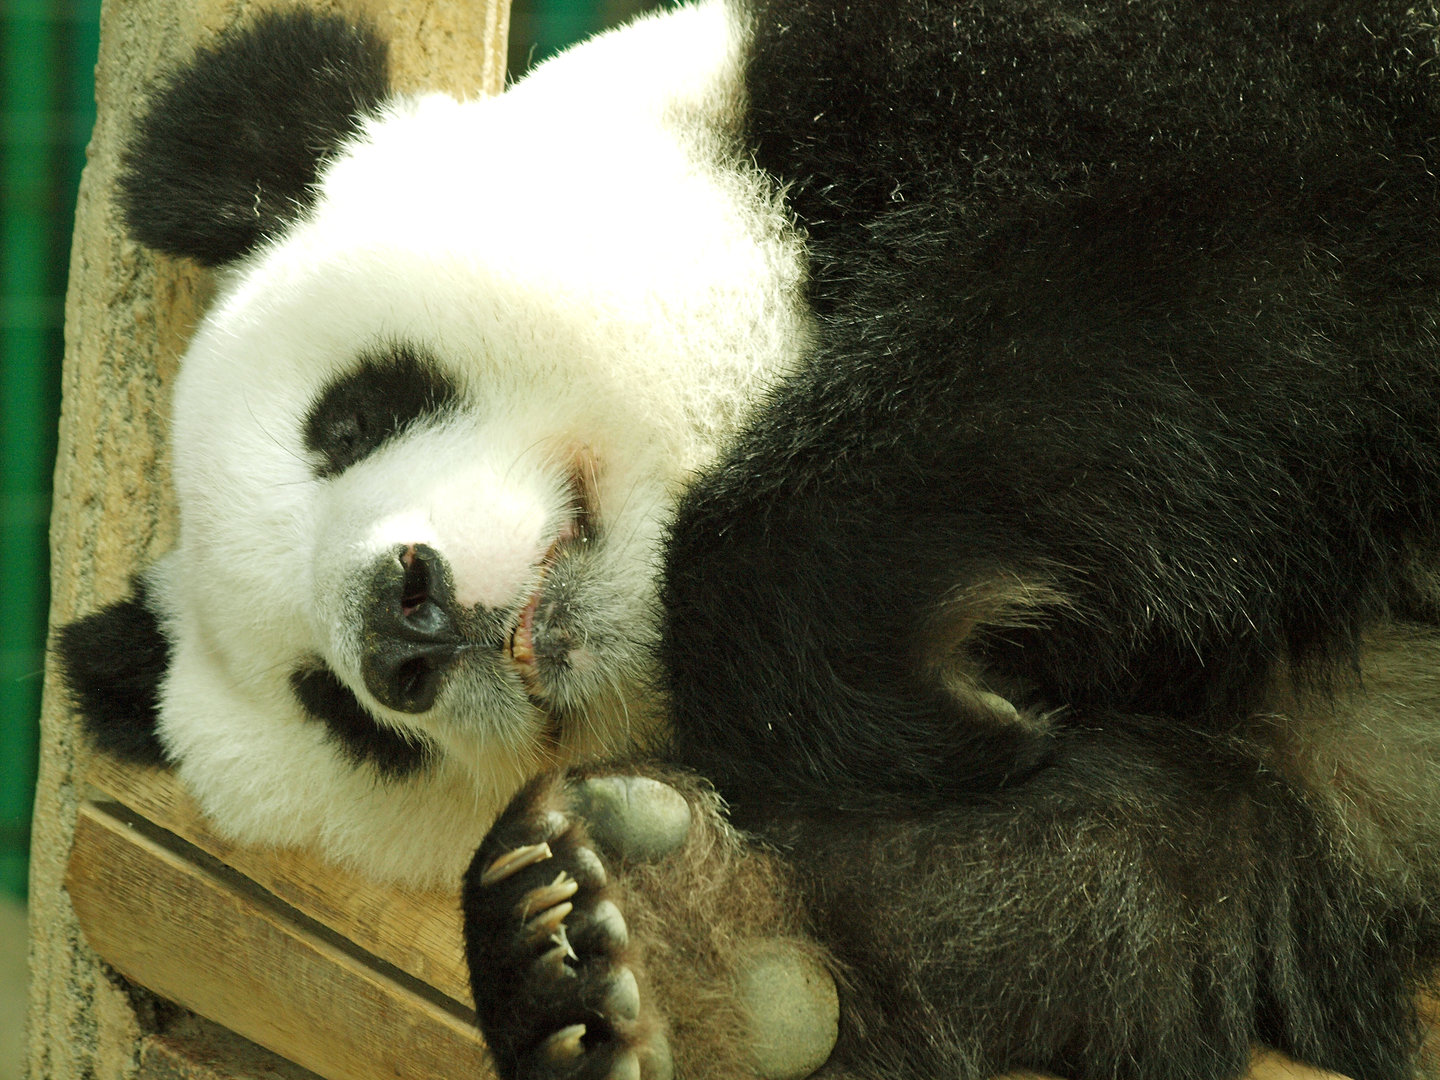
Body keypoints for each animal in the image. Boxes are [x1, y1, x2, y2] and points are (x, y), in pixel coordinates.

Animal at [57, 1, 1440, 1079]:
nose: (407, 631)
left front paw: (884, 690)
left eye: (352, 417)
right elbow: (1141, 898)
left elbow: (1211, 246)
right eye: (340, 712)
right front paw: (674, 954)